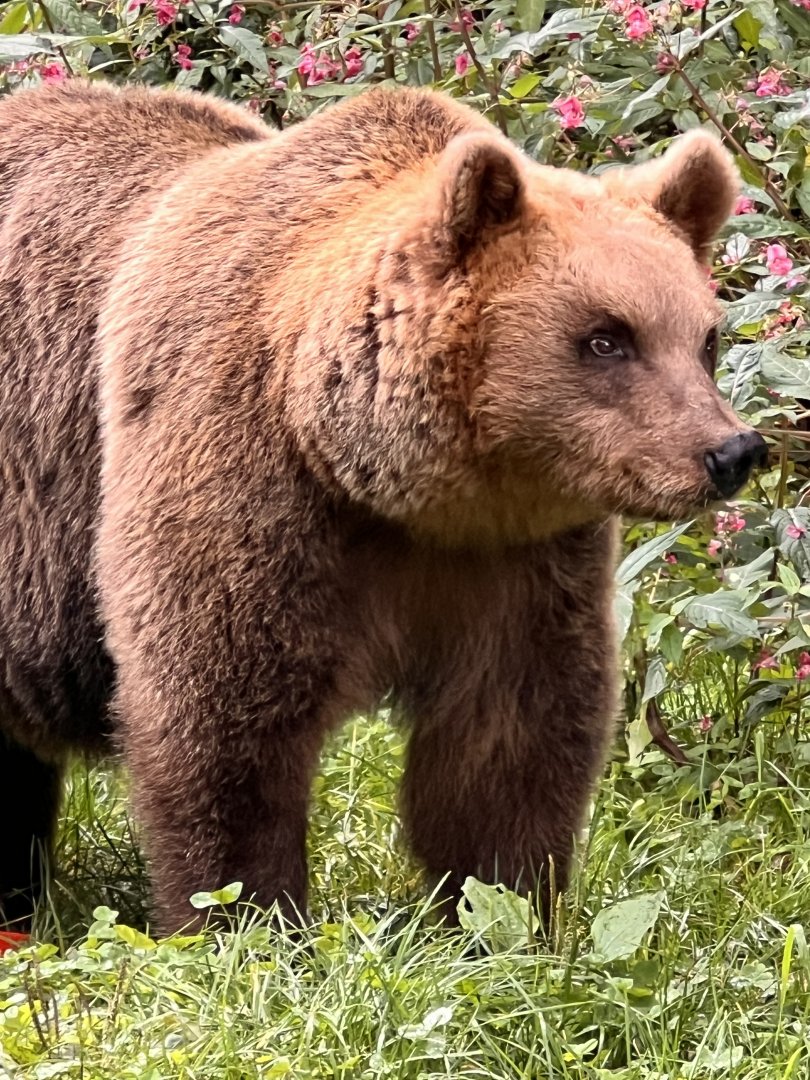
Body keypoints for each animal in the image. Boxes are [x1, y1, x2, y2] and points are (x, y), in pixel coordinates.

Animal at [0, 78, 767, 933]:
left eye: (704, 339)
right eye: (606, 338)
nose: (731, 451)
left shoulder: (515, 561)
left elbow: (509, 741)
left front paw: (506, 911)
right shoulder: (243, 484)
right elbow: (223, 723)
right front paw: (245, 917)